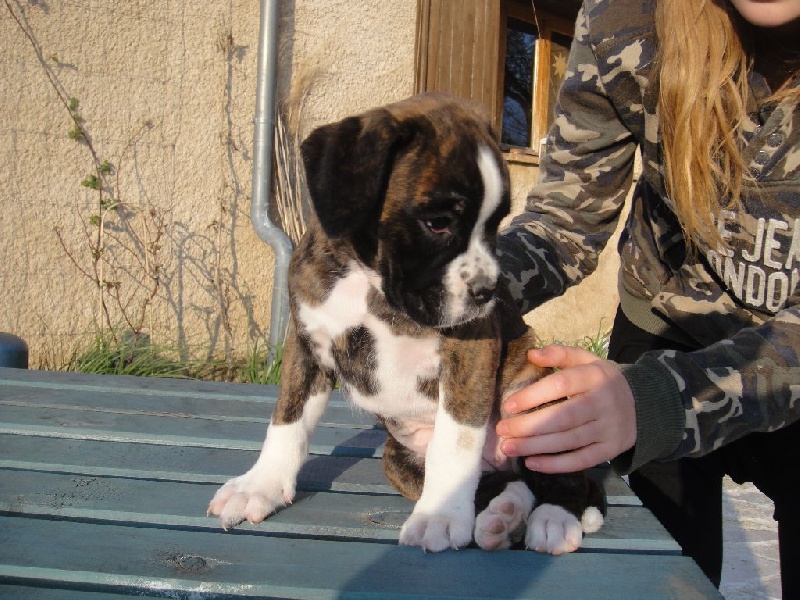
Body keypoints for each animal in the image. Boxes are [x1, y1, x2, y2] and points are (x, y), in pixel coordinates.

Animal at [208, 93, 604, 553]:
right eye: (438, 223)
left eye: (495, 225)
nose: (488, 290)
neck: (368, 279)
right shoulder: (307, 345)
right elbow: (287, 421)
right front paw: (260, 486)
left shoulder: (469, 352)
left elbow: (455, 443)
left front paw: (439, 517)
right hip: (399, 460)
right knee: (505, 484)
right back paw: (504, 517)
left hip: (542, 406)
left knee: (564, 478)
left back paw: (556, 519)